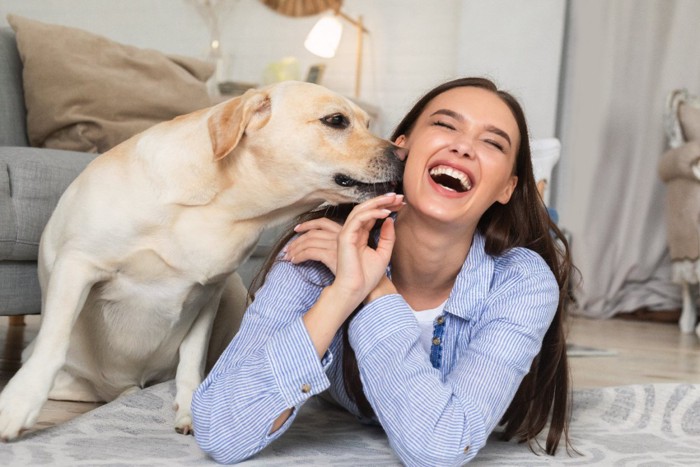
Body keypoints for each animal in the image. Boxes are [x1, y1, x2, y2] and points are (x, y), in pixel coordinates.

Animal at [0, 81, 404, 442]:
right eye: (336, 120)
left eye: (367, 123)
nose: (402, 155)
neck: (222, 206)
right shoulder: (77, 264)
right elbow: (54, 340)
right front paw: (18, 404)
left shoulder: (210, 291)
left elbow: (191, 360)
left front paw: (189, 412)